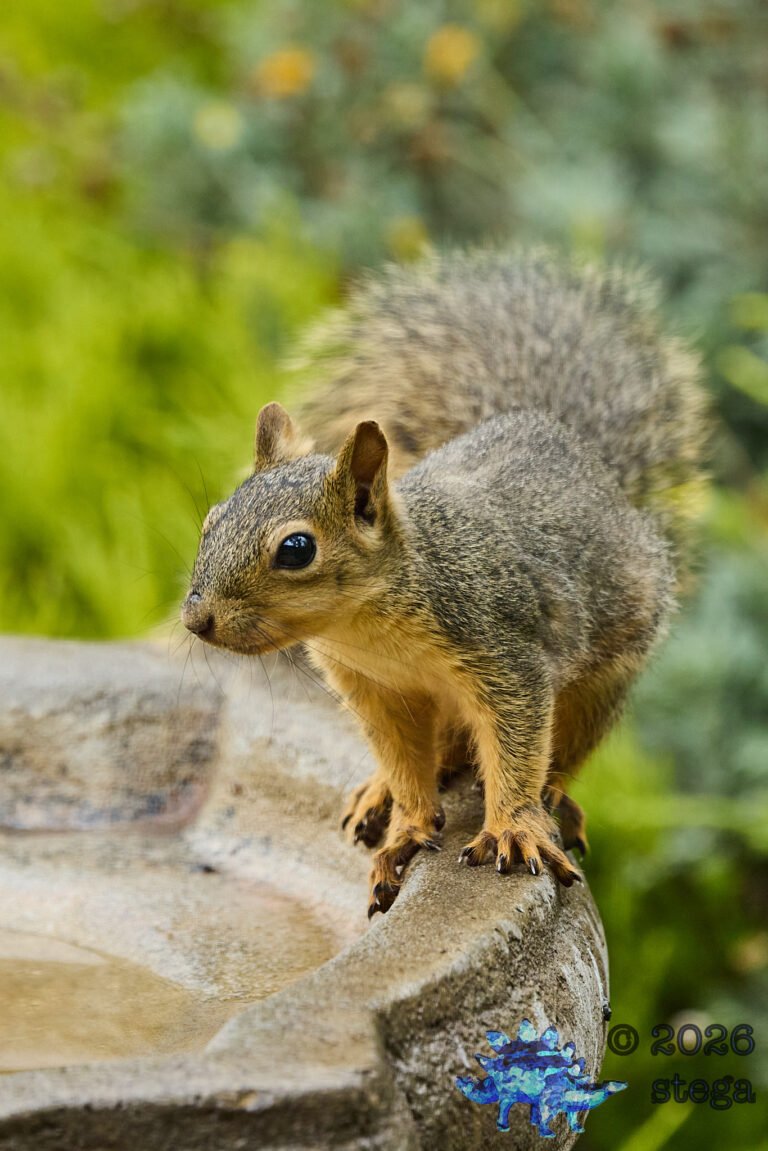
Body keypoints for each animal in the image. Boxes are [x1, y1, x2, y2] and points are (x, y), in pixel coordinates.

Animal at [181, 249, 707, 918]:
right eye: (211, 520)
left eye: (296, 549)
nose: (196, 620)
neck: (367, 628)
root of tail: (578, 456)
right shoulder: (377, 691)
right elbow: (407, 765)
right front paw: (406, 828)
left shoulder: (504, 653)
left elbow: (517, 746)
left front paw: (514, 827)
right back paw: (381, 792)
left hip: (605, 675)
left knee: (562, 748)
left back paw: (553, 796)